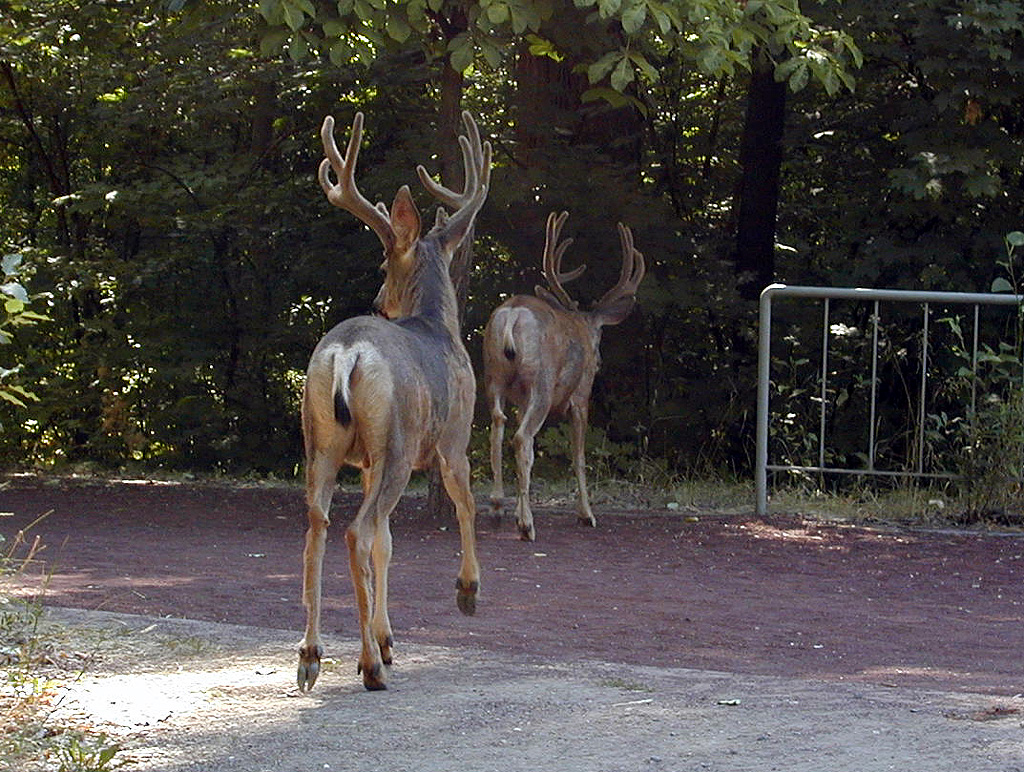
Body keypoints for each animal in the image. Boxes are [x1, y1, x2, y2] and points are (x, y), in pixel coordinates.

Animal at [298, 109, 491, 691]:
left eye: (383, 267)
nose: (380, 300)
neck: (438, 325)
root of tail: (346, 353)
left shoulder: (365, 462)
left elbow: (387, 544)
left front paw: (388, 636)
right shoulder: (454, 439)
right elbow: (465, 505)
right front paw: (467, 590)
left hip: (321, 439)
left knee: (319, 525)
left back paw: (311, 656)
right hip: (401, 444)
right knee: (356, 532)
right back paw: (368, 667)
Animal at [482, 211, 646, 541]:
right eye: (599, 337)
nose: (598, 361)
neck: (582, 325)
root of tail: (512, 314)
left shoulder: (521, 399)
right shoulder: (581, 395)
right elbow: (579, 456)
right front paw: (587, 514)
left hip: (493, 375)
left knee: (498, 428)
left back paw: (497, 508)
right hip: (542, 382)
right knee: (522, 439)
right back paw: (527, 526)